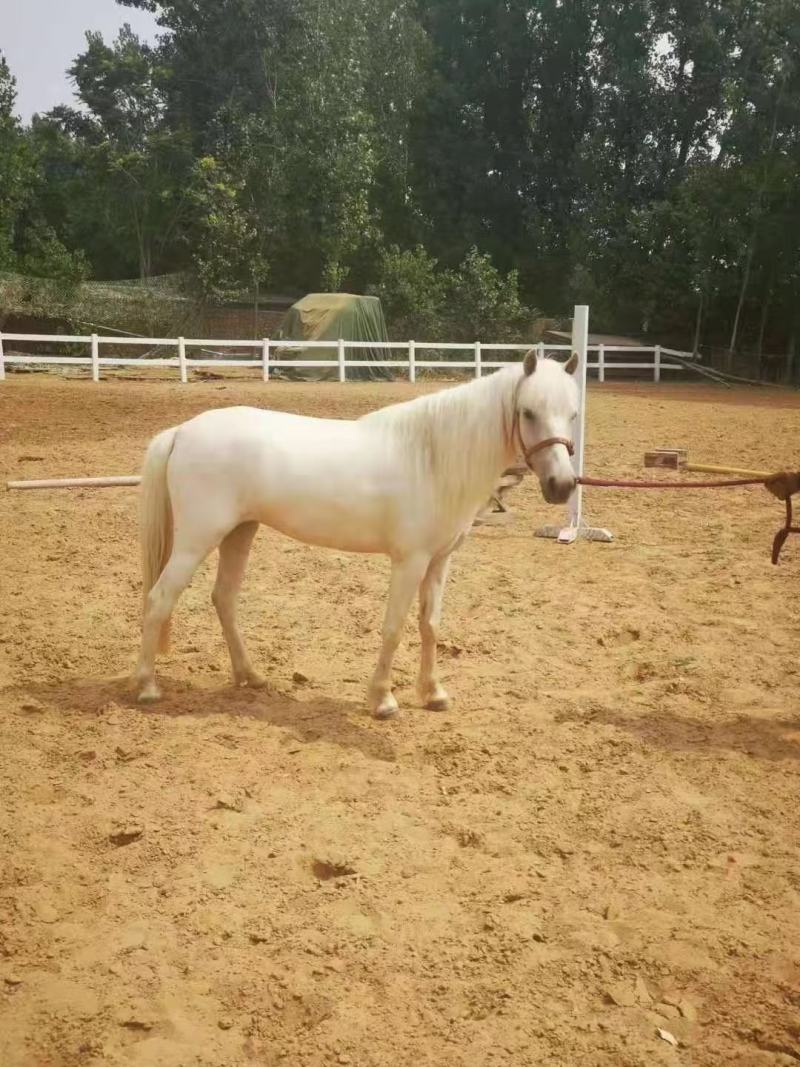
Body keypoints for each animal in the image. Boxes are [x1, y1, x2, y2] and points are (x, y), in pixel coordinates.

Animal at [133, 348, 579, 718]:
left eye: (573, 415)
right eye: (527, 412)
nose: (561, 486)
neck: (432, 459)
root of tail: (181, 432)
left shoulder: (440, 561)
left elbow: (430, 625)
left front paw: (433, 694)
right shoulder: (410, 561)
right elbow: (394, 627)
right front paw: (382, 700)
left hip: (239, 533)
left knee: (224, 599)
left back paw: (251, 676)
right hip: (196, 540)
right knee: (159, 599)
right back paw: (147, 687)